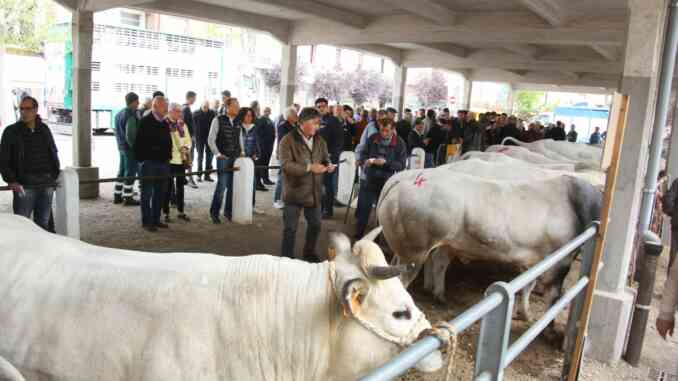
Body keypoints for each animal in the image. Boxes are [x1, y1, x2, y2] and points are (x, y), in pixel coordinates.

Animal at [380, 164, 604, 320]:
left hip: (410, 250)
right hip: (415, 251)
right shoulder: (559, 261)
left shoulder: (534, 261)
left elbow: (528, 286)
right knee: (404, 279)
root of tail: (407, 180)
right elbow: (553, 295)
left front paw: (525, 314)